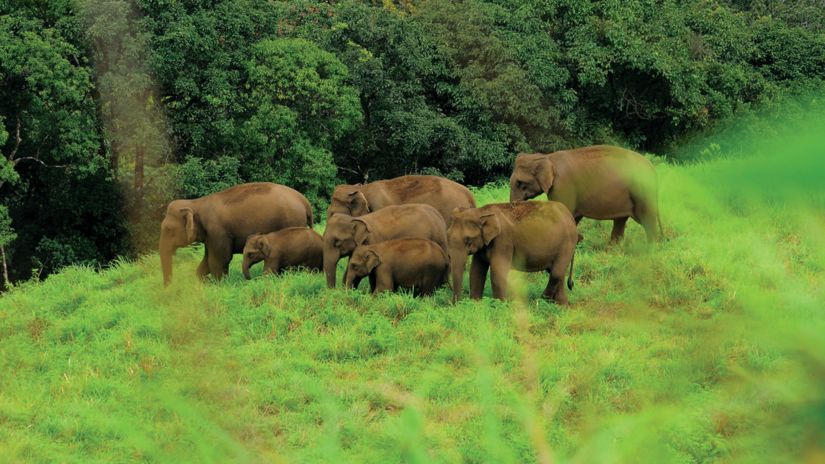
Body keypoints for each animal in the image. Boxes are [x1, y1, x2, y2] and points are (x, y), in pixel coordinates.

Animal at [159, 182, 314, 286]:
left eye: (168, 229)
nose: (169, 289)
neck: (196, 203)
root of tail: (304, 200)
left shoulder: (218, 232)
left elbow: (218, 261)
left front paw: (219, 286)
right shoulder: (210, 236)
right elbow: (207, 262)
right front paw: (205, 284)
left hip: (293, 220)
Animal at [448, 200, 576, 304]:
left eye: (468, 240)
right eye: (448, 235)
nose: (455, 304)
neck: (482, 212)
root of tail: (569, 215)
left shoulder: (503, 240)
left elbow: (497, 271)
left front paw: (500, 306)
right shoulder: (484, 244)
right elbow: (476, 270)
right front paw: (476, 304)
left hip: (567, 244)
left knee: (557, 272)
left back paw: (542, 300)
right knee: (557, 273)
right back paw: (561, 305)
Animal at [508, 145, 664, 243]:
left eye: (520, 183)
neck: (548, 157)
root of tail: (653, 170)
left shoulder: (563, 186)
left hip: (642, 192)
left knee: (647, 220)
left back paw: (650, 249)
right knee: (621, 221)